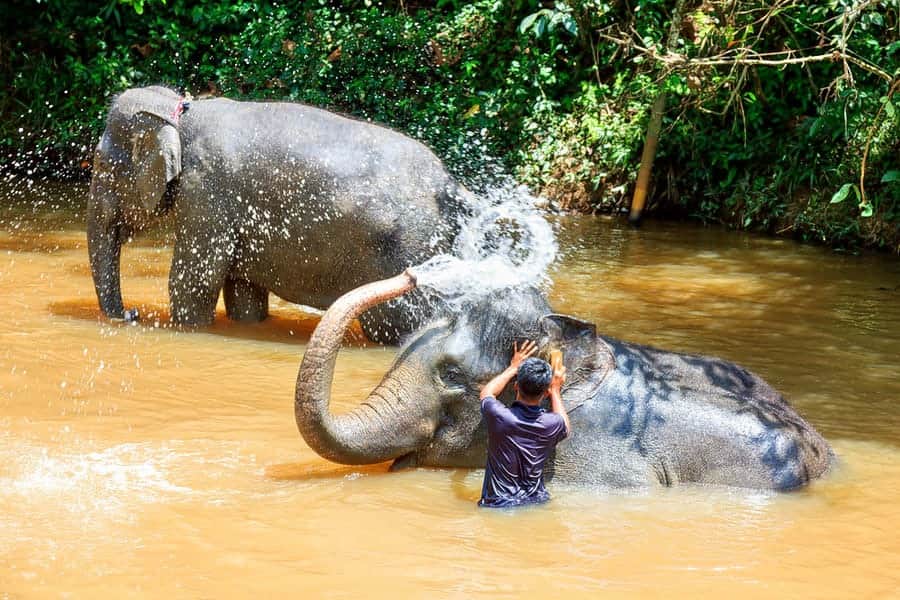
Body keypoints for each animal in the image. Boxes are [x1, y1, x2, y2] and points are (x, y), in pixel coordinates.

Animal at [88, 86, 465, 343]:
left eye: (102, 166)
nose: (132, 314)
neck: (181, 113)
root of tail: (451, 186)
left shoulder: (206, 192)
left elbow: (194, 280)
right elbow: (243, 292)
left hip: (407, 251)